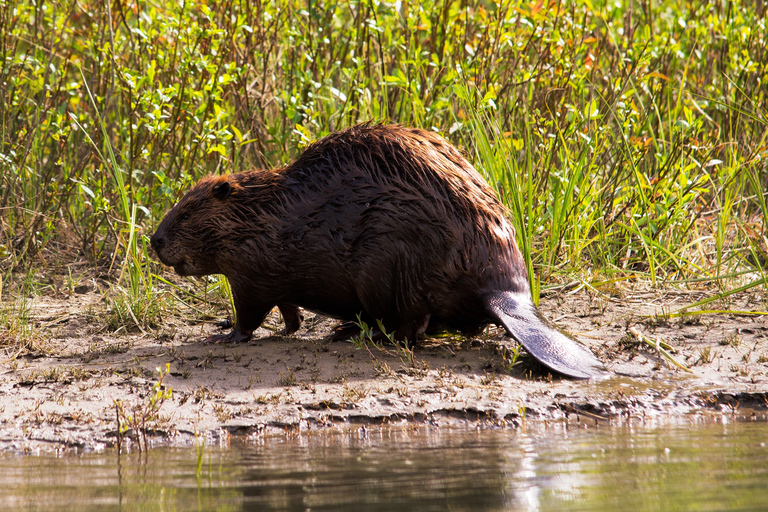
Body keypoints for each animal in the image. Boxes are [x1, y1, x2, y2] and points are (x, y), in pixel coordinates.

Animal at [150, 124, 608, 380]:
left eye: (187, 212)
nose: (154, 241)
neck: (264, 213)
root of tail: (507, 293)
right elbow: (287, 311)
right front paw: (288, 327)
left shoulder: (252, 270)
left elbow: (249, 312)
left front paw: (224, 334)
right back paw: (345, 329)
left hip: (387, 262)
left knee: (411, 325)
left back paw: (353, 333)